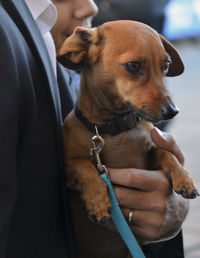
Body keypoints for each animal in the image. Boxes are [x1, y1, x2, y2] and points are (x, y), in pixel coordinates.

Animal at [58, 20, 198, 258]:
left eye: (166, 66)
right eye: (133, 66)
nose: (172, 111)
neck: (115, 130)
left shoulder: (151, 151)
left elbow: (163, 151)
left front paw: (183, 177)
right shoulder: (66, 168)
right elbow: (83, 164)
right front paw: (97, 199)